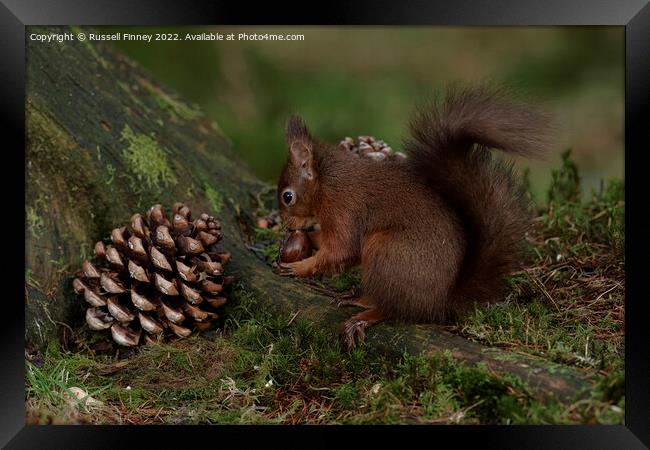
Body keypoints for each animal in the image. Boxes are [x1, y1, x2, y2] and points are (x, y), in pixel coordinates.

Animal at [276, 86, 548, 350]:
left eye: (287, 196)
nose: (287, 227)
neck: (328, 183)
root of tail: (438, 303)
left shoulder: (344, 210)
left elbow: (340, 251)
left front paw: (299, 267)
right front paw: (300, 243)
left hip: (385, 252)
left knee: (392, 310)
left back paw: (362, 316)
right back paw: (355, 297)